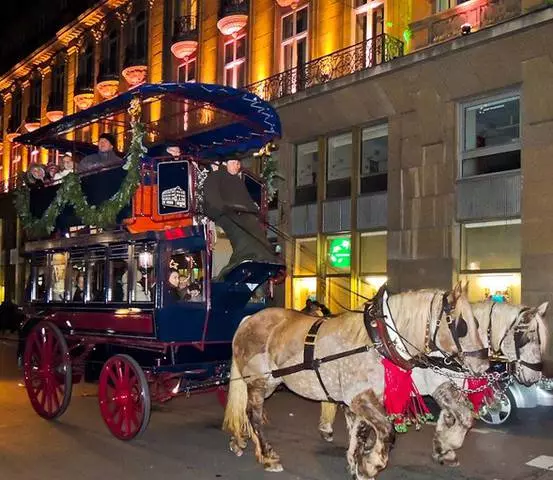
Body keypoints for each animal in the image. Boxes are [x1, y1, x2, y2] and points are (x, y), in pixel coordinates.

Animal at [222, 284, 486, 478]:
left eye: (478, 322)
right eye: (462, 325)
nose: (484, 365)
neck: (380, 340)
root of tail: (249, 319)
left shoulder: (363, 399)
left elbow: (360, 432)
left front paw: (356, 462)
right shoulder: (360, 397)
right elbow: (386, 431)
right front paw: (370, 465)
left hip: (266, 383)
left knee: (243, 409)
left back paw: (238, 441)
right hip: (259, 381)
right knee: (253, 414)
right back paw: (268, 456)